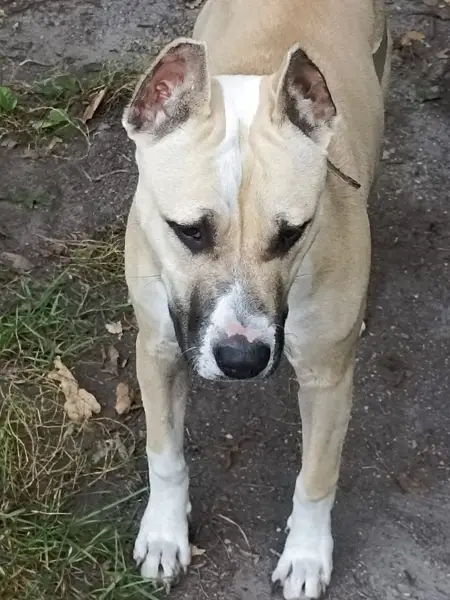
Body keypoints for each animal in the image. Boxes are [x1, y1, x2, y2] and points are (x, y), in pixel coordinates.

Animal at [122, 1, 391, 597]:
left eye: (292, 234)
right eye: (189, 232)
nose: (242, 359)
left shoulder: (327, 379)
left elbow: (317, 478)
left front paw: (308, 556)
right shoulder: (158, 349)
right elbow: (164, 453)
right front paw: (165, 533)